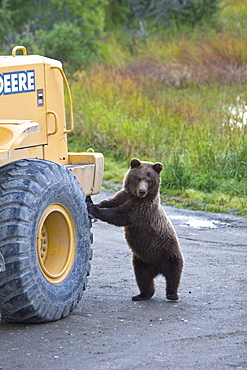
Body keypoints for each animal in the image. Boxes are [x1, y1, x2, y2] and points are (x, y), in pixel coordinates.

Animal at [87, 157, 183, 300]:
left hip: (168, 251)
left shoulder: (141, 209)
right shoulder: (123, 196)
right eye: (138, 178)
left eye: (149, 180)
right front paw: (91, 202)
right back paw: (142, 295)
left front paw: (93, 208)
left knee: (174, 272)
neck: (135, 196)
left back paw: (172, 294)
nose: (142, 191)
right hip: (142, 260)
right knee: (143, 277)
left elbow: (120, 215)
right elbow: (109, 202)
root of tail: (157, 269)